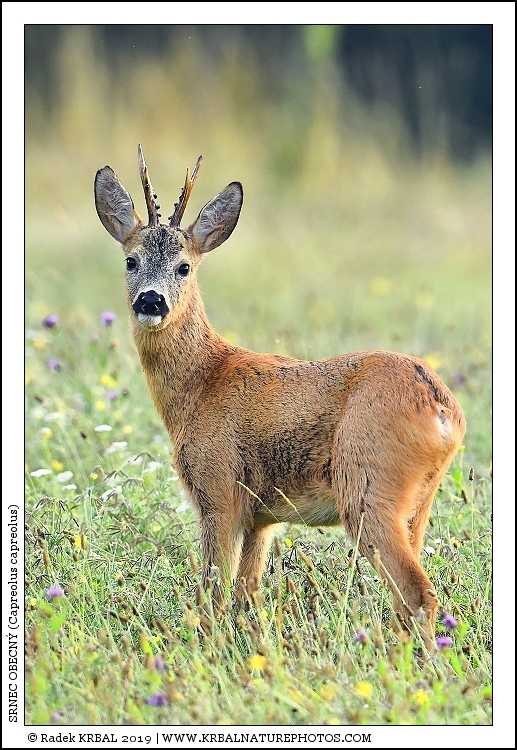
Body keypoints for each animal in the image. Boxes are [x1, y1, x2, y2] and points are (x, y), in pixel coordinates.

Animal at [94, 145, 466, 647]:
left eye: (184, 266)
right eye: (130, 260)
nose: (151, 301)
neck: (201, 383)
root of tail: (441, 408)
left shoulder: (218, 489)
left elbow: (212, 593)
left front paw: (208, 648)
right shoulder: (262, 516)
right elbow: (246, 595)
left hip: (367, 487)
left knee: (418, 593)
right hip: (418, 503)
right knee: (406, 598)